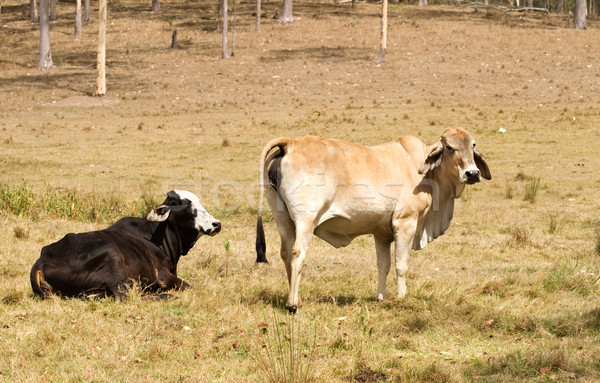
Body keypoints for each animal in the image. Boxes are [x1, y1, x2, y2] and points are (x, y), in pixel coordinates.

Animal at [29, 190, 220, 298]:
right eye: (186, 205)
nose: (216, 224)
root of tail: (42, 260)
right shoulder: (164, 276)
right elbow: (189, 287)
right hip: (114, 260)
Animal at [255, 127, 490, 314]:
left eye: (473, 145)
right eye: (450, 147)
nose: (472, 173)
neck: (422, 171)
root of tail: (291, 143)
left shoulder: (382, 234)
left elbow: (383, 266)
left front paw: (381, 297)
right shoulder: (406, 223)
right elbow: (401, 264)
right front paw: (401, 297)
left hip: (283, 220)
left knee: (285, 253)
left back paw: (293, 298)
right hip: (305, 220)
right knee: (297, 253)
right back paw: (293, 304)